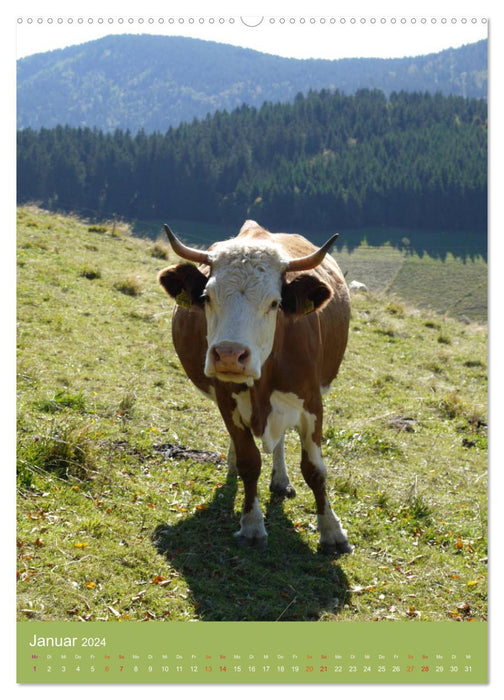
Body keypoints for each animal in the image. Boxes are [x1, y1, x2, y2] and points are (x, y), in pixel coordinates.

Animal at [159, 221, 352, 556]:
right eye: (207, 297)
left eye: (274, 303)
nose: (229, 355)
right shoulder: (227, 400)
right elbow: (250, 462)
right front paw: (251, 525)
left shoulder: (312, 403)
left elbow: (315, 469)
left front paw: (332, 532)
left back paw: (281, 480)